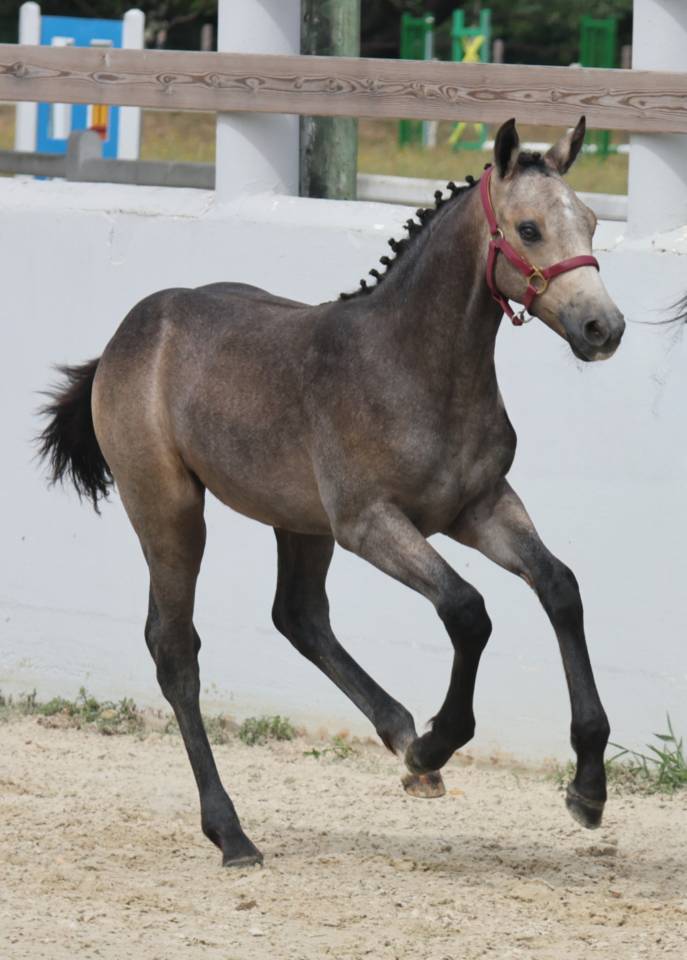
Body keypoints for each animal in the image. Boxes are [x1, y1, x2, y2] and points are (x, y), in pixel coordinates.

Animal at [38, 117, 625, 867]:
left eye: (591, 221)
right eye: (528, 228)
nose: (602, 328)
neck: (412, 364)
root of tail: (123, 340)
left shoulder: (480, 506)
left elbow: (559, 586)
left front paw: (587, 788)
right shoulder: (369, 523)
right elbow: (467, 610)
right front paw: (438, 740)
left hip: (298, 521)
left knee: (297, 614)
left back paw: (401, 736)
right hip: (170, 510)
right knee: (175, 649)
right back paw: (234, 832)